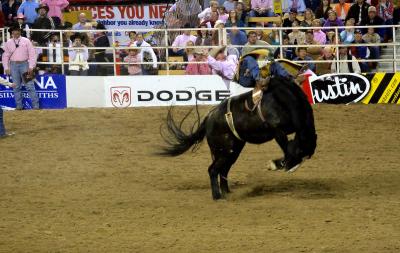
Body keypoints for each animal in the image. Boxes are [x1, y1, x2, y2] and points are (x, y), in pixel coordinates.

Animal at [159, 77, 316, 200]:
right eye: (300, 152)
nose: (289, 167)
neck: (285, 100)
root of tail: (209, 118)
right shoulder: (277, 130)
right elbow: (287, 148)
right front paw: (277, 164)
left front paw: (279, 163)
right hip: (225, 151)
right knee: (213, 170)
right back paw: (217, 196)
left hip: (233, 150)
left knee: (223, 170)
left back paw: (227, 192)